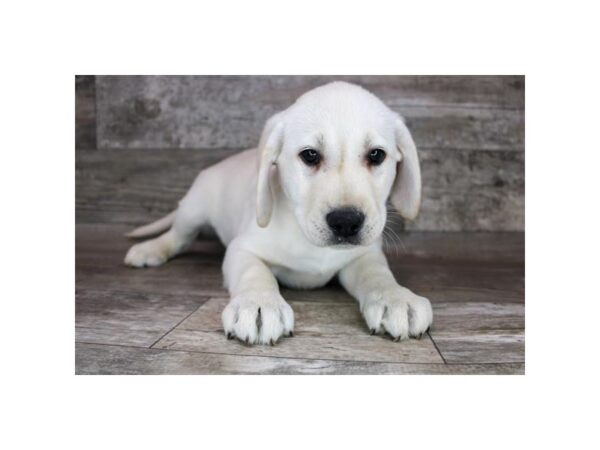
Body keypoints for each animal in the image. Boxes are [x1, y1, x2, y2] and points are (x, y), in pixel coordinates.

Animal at [125, 81, 432, 344]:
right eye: (310, 155)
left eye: (377, 155)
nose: (346, 222)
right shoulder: (242, 248)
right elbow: (255, 272)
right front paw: (259, 303)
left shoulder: (364, 255)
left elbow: (377, 274)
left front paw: (395, 298)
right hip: (194, 208)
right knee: (179, 236)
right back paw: (150, 249)